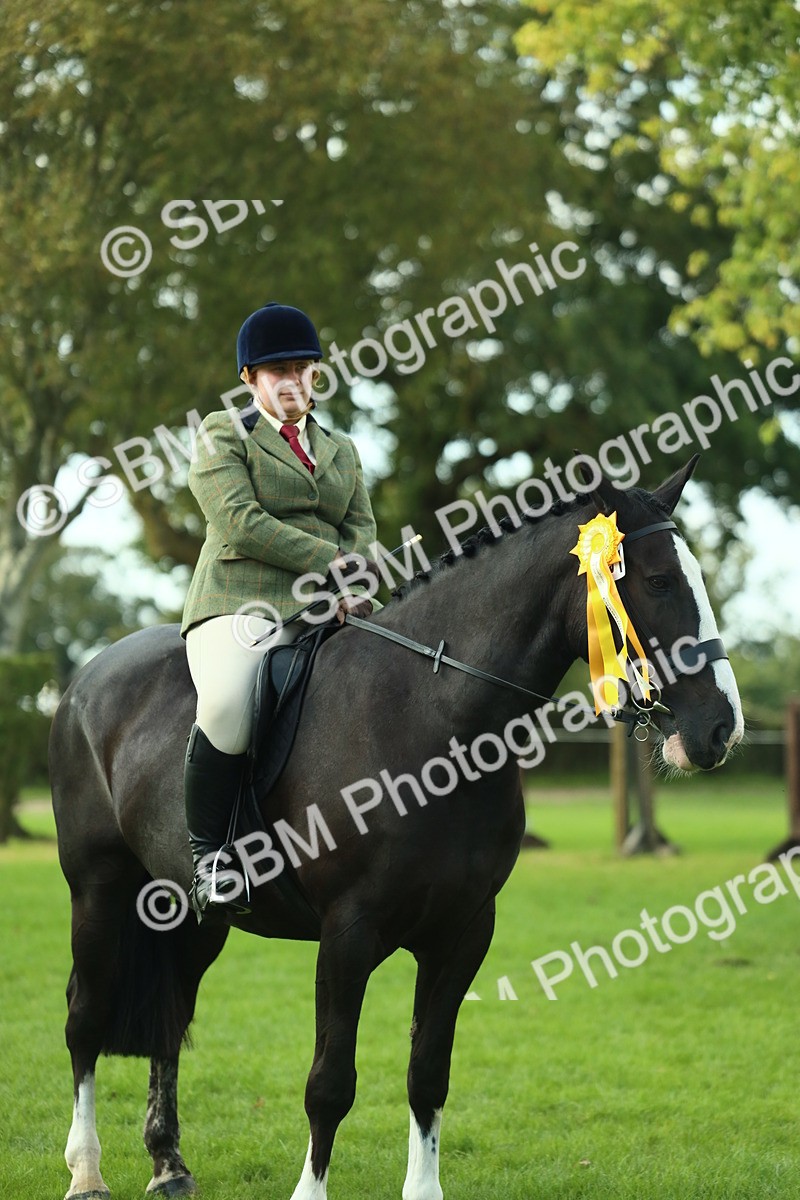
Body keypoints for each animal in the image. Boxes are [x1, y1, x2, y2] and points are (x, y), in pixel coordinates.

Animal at [50, 457, 743, 1200]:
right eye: (658, 580)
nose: (720, 730)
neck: (436, 718)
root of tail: (86, 677)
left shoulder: (463, 933)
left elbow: (427, 1076)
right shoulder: (348, 935)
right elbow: (330, 1085)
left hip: (192, 913)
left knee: (170, 1017)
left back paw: (169, 1165)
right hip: (98, 890)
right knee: (85, 1016)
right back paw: (87, 1172)